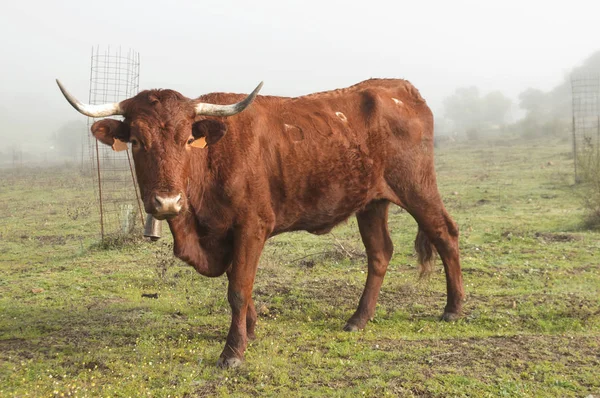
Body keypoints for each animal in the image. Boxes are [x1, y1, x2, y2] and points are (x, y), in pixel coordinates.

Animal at [56, 79, 464, 368]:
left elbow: (238, 287)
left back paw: (453, 308)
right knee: (380, 253)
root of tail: (397, 87)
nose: (167, 202)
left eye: (187, 139)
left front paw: (233, 351)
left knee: (445, 234)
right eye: (138, 141)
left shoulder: (251, 226)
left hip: (417, 187)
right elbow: (240, 284)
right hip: (371, 202)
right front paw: (250, 331)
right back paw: (358, 319)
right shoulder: (226, 234)